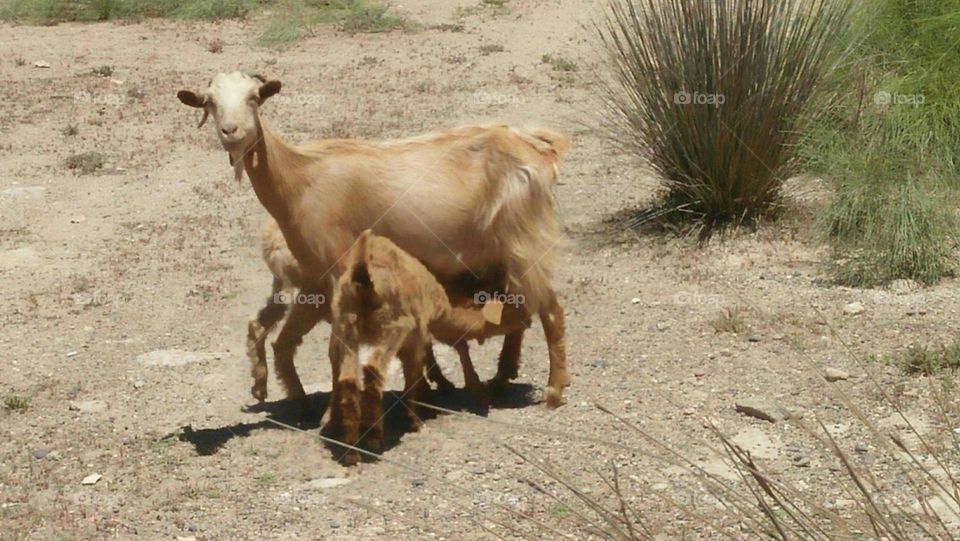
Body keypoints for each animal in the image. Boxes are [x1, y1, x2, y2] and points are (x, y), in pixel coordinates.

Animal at [178, 71, 568, 428]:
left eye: (254, 98)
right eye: (210, 102)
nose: (231, 132)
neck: (299, 181)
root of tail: (537, 148)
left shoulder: (338, 271)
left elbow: (339, 349)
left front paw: (334, 416)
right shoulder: (320, 282)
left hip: (522, 240)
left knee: (549, 310)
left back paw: (552, 391)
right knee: (518, 308)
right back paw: (501, 377)